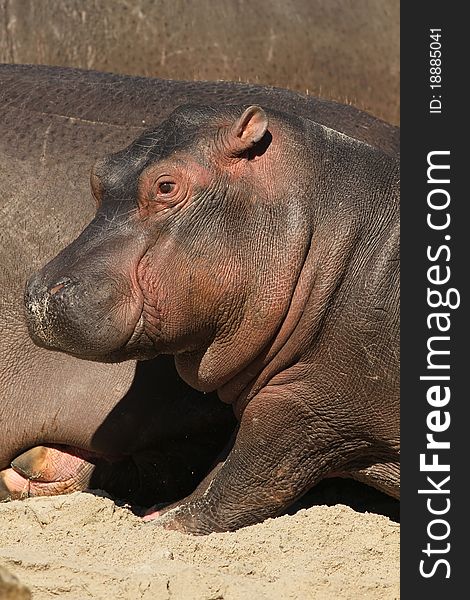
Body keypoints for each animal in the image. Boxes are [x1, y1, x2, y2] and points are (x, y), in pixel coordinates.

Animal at [24, 104, 400, 536]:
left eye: (166, 186)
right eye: (98, 174)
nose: (38, 293)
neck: (326, 224)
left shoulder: (304, 409)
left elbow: (235, 489)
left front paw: (157, 523)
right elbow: (213, 473)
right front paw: (155, 510)